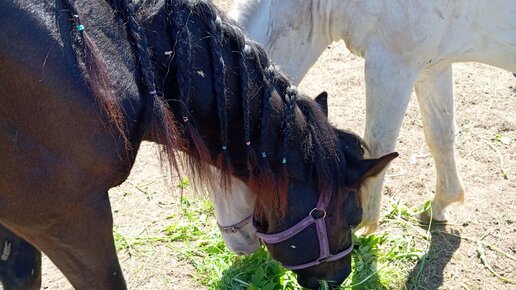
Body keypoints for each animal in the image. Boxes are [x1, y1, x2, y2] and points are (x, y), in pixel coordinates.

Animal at [230, 0, 516, 232]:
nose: (242, 237)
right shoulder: (433, 66)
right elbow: (440, 136)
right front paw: (442, 204)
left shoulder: (393, 63)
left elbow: (378, 146)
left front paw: (361, 223)